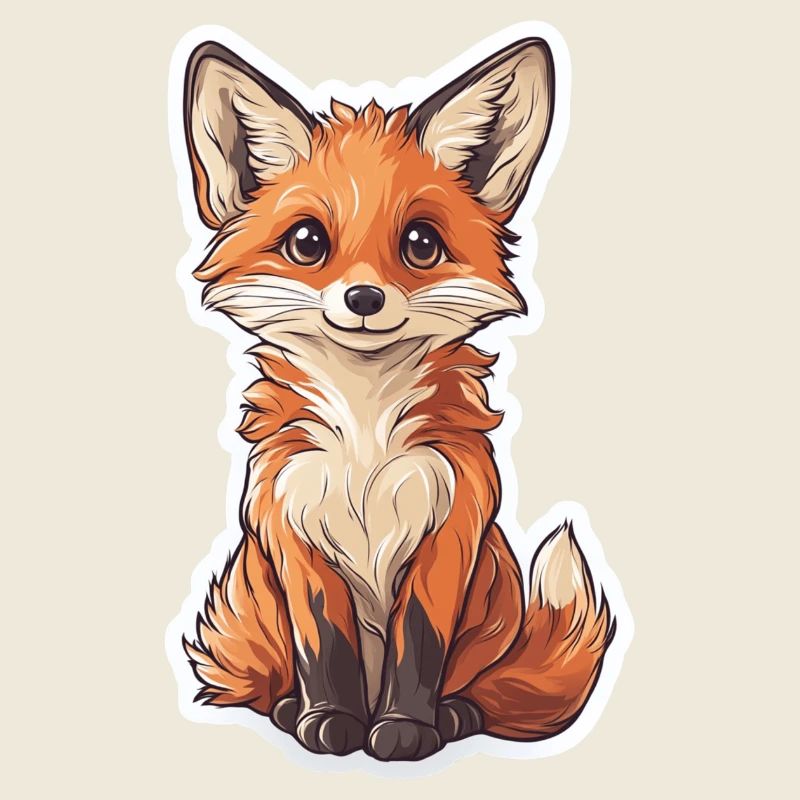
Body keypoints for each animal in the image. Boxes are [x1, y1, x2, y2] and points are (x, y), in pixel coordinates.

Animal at [178, 35, 616, 762]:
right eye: (307, 243)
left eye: (420, 244)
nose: (363, 298)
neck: (364, 432)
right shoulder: (292, 527)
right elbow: (326, 646)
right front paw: (331, 720)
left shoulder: (450, 527)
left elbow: (418, 647)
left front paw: (405, 729)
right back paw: (291, 708)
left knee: (483, 693)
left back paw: (455, 715)